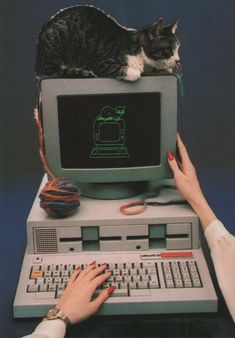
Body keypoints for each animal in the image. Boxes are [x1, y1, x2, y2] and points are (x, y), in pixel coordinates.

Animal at [35, 4, 181, 81]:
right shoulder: (101, 63)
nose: (178, 60)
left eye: (178, 49)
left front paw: (165, 69)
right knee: (54, 70)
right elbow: (132, 72)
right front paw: (136, 71)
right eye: (167, 49)